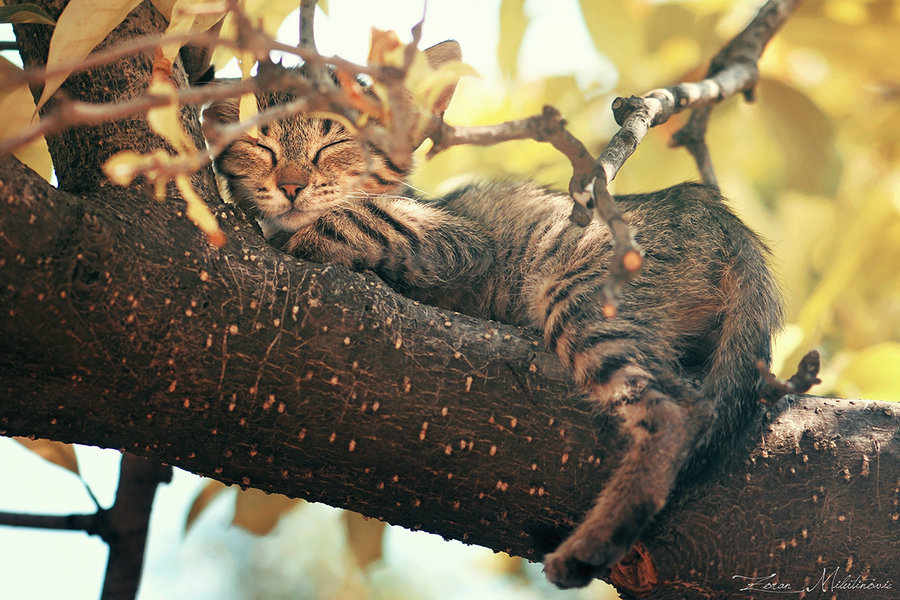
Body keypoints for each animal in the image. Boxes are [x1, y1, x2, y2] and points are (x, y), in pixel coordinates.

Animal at [202, 43, 780, 592]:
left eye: (333, 145)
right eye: (260, 146)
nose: (291, 185)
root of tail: (720, 217)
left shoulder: (460, 243)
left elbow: (349, 219)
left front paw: (304, 233)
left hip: (579, 295)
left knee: (675, 411)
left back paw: (589, 546)